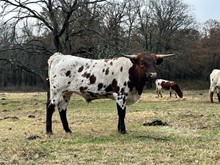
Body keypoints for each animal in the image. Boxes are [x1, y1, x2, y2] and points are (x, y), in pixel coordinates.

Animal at [46, 52, 174, 134]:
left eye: (155, 62)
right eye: (142, 63)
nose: (153, 74)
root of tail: (59, 56)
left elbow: (120, 113)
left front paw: (119, 129)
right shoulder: (121, 95)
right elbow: (122, 113)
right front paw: (122, 130)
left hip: (66, 93)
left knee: (62, 109)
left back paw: (68, 130)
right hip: (56, 91)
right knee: (50, 107)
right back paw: (49, 131)